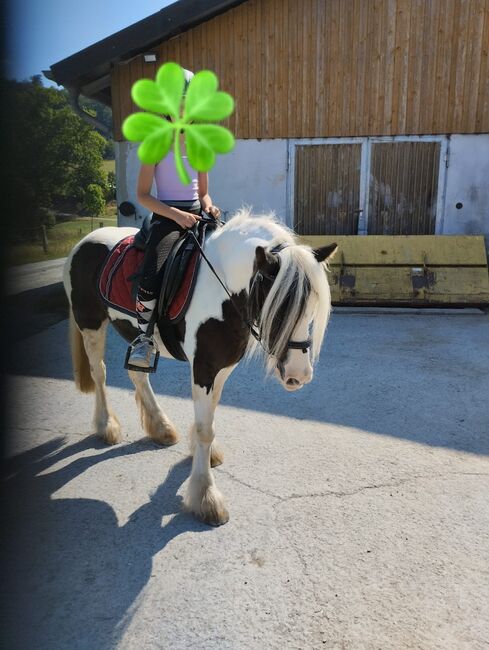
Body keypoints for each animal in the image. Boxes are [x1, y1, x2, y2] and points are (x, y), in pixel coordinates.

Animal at [63, 210, 336, 524]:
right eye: (279, 306)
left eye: (312, 303)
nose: (298, 375)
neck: (223, 287)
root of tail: (82, 242)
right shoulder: (204, 367)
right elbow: (206, 429)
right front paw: (206, 497)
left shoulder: (222, 367)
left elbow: (211, 419)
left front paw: (205, 456)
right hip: (91, 325)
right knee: (100, 372)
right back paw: (106, 425)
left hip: (133, 332)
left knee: (137, 373)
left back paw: (161, 428)